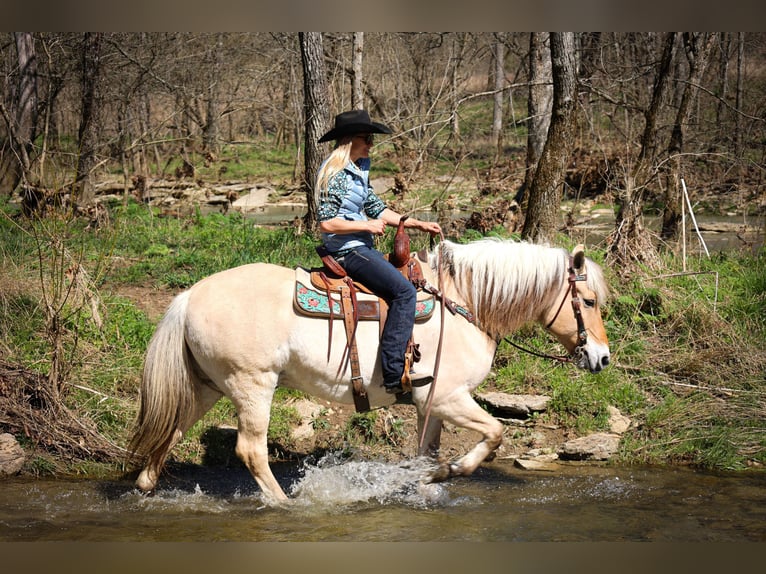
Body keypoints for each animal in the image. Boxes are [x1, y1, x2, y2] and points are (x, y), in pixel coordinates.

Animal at [130, 238, 612, 504]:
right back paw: (287, 505)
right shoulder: (447, 397)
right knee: (251, 451)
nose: (603, 358)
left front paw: (428, 481)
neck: (463, 305)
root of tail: (190, 295)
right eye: (588, 301)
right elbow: (494, 433)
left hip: (206, 387)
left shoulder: (429, 405)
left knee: (170, 430)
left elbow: (427, 453)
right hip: (253, 385)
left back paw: (145, 486)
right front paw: (453, 470)